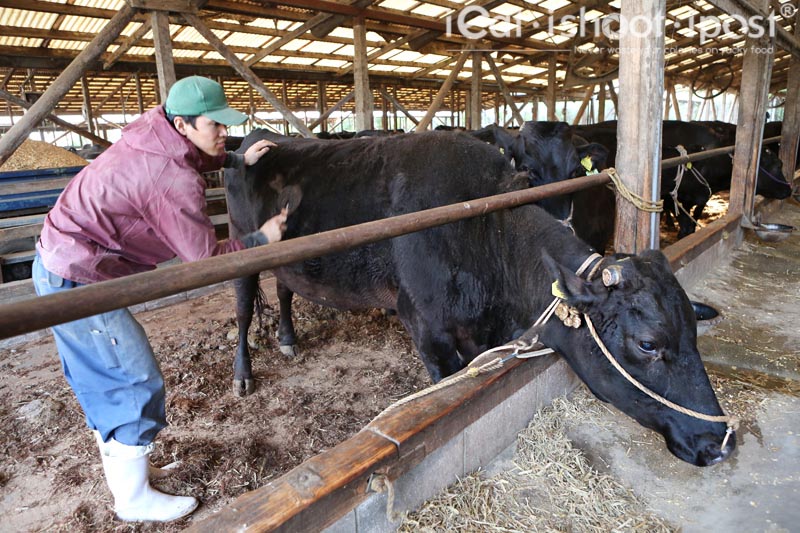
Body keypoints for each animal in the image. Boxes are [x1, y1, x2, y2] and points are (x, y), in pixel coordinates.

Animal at [225, 129, 736, 466]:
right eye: (648, 344)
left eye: (693, 333)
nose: (719, 441)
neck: (485, 230)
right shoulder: (426, 327)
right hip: (242, 249)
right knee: (245, 305)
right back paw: (243, 374)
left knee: (285, 289)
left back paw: (288, 339)